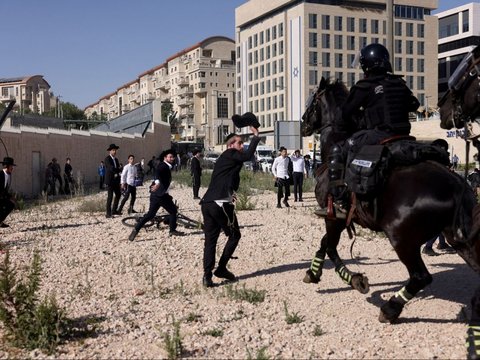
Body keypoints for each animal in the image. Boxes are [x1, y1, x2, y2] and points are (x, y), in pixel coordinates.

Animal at [302, 78, 480, 330]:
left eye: (312, 101)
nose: (302, 125)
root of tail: (456, 184)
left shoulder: (332, 216)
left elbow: (329, 246)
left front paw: (349, 278)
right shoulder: (339, 219)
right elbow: (326, 244)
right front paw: (326, 273)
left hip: (401, 239)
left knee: (420, 276)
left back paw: (390, 308)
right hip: (459, 240)